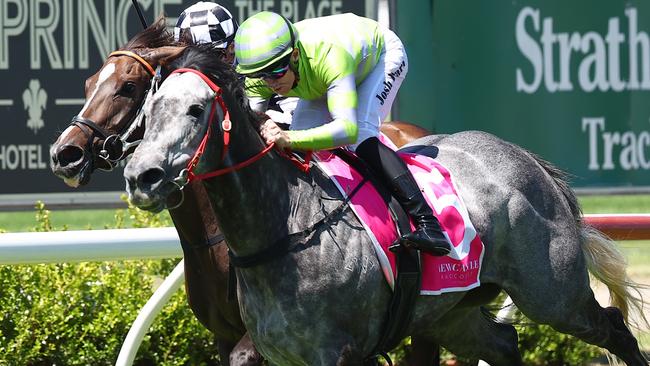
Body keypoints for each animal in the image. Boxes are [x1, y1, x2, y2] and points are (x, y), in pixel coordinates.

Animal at [48, 17, 438, 366]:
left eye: (128, 86)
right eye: (88, 84)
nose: (65, 153)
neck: (212, 235)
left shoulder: (266, 335)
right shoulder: (225, 334)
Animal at [123, 45, 648, 366]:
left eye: (196, 110)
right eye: (148, 111)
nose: (141, 177)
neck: (286, 229)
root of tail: (527, 158)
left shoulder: (340, 352)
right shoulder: (274, 352)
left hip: (553, 295)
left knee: (616, 328)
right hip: (452, 313)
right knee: (505, 343)